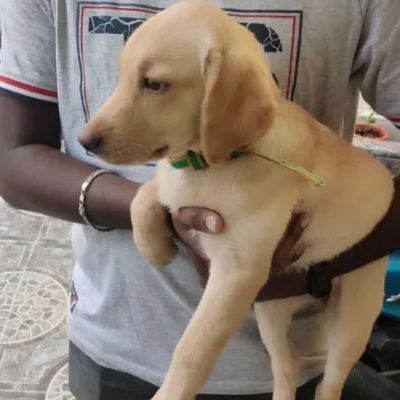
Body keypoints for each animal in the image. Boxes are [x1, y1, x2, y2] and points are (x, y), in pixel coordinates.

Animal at [78, 0, 394, 400]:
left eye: (154, 84)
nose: (85, 141)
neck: (212, 163)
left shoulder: (236, 273)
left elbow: (192, 349)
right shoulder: (173, 182)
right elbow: (144, 196)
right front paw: (156, 249)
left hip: (352, 312)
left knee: (330, 381)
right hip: (270, 307)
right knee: (288, 363)